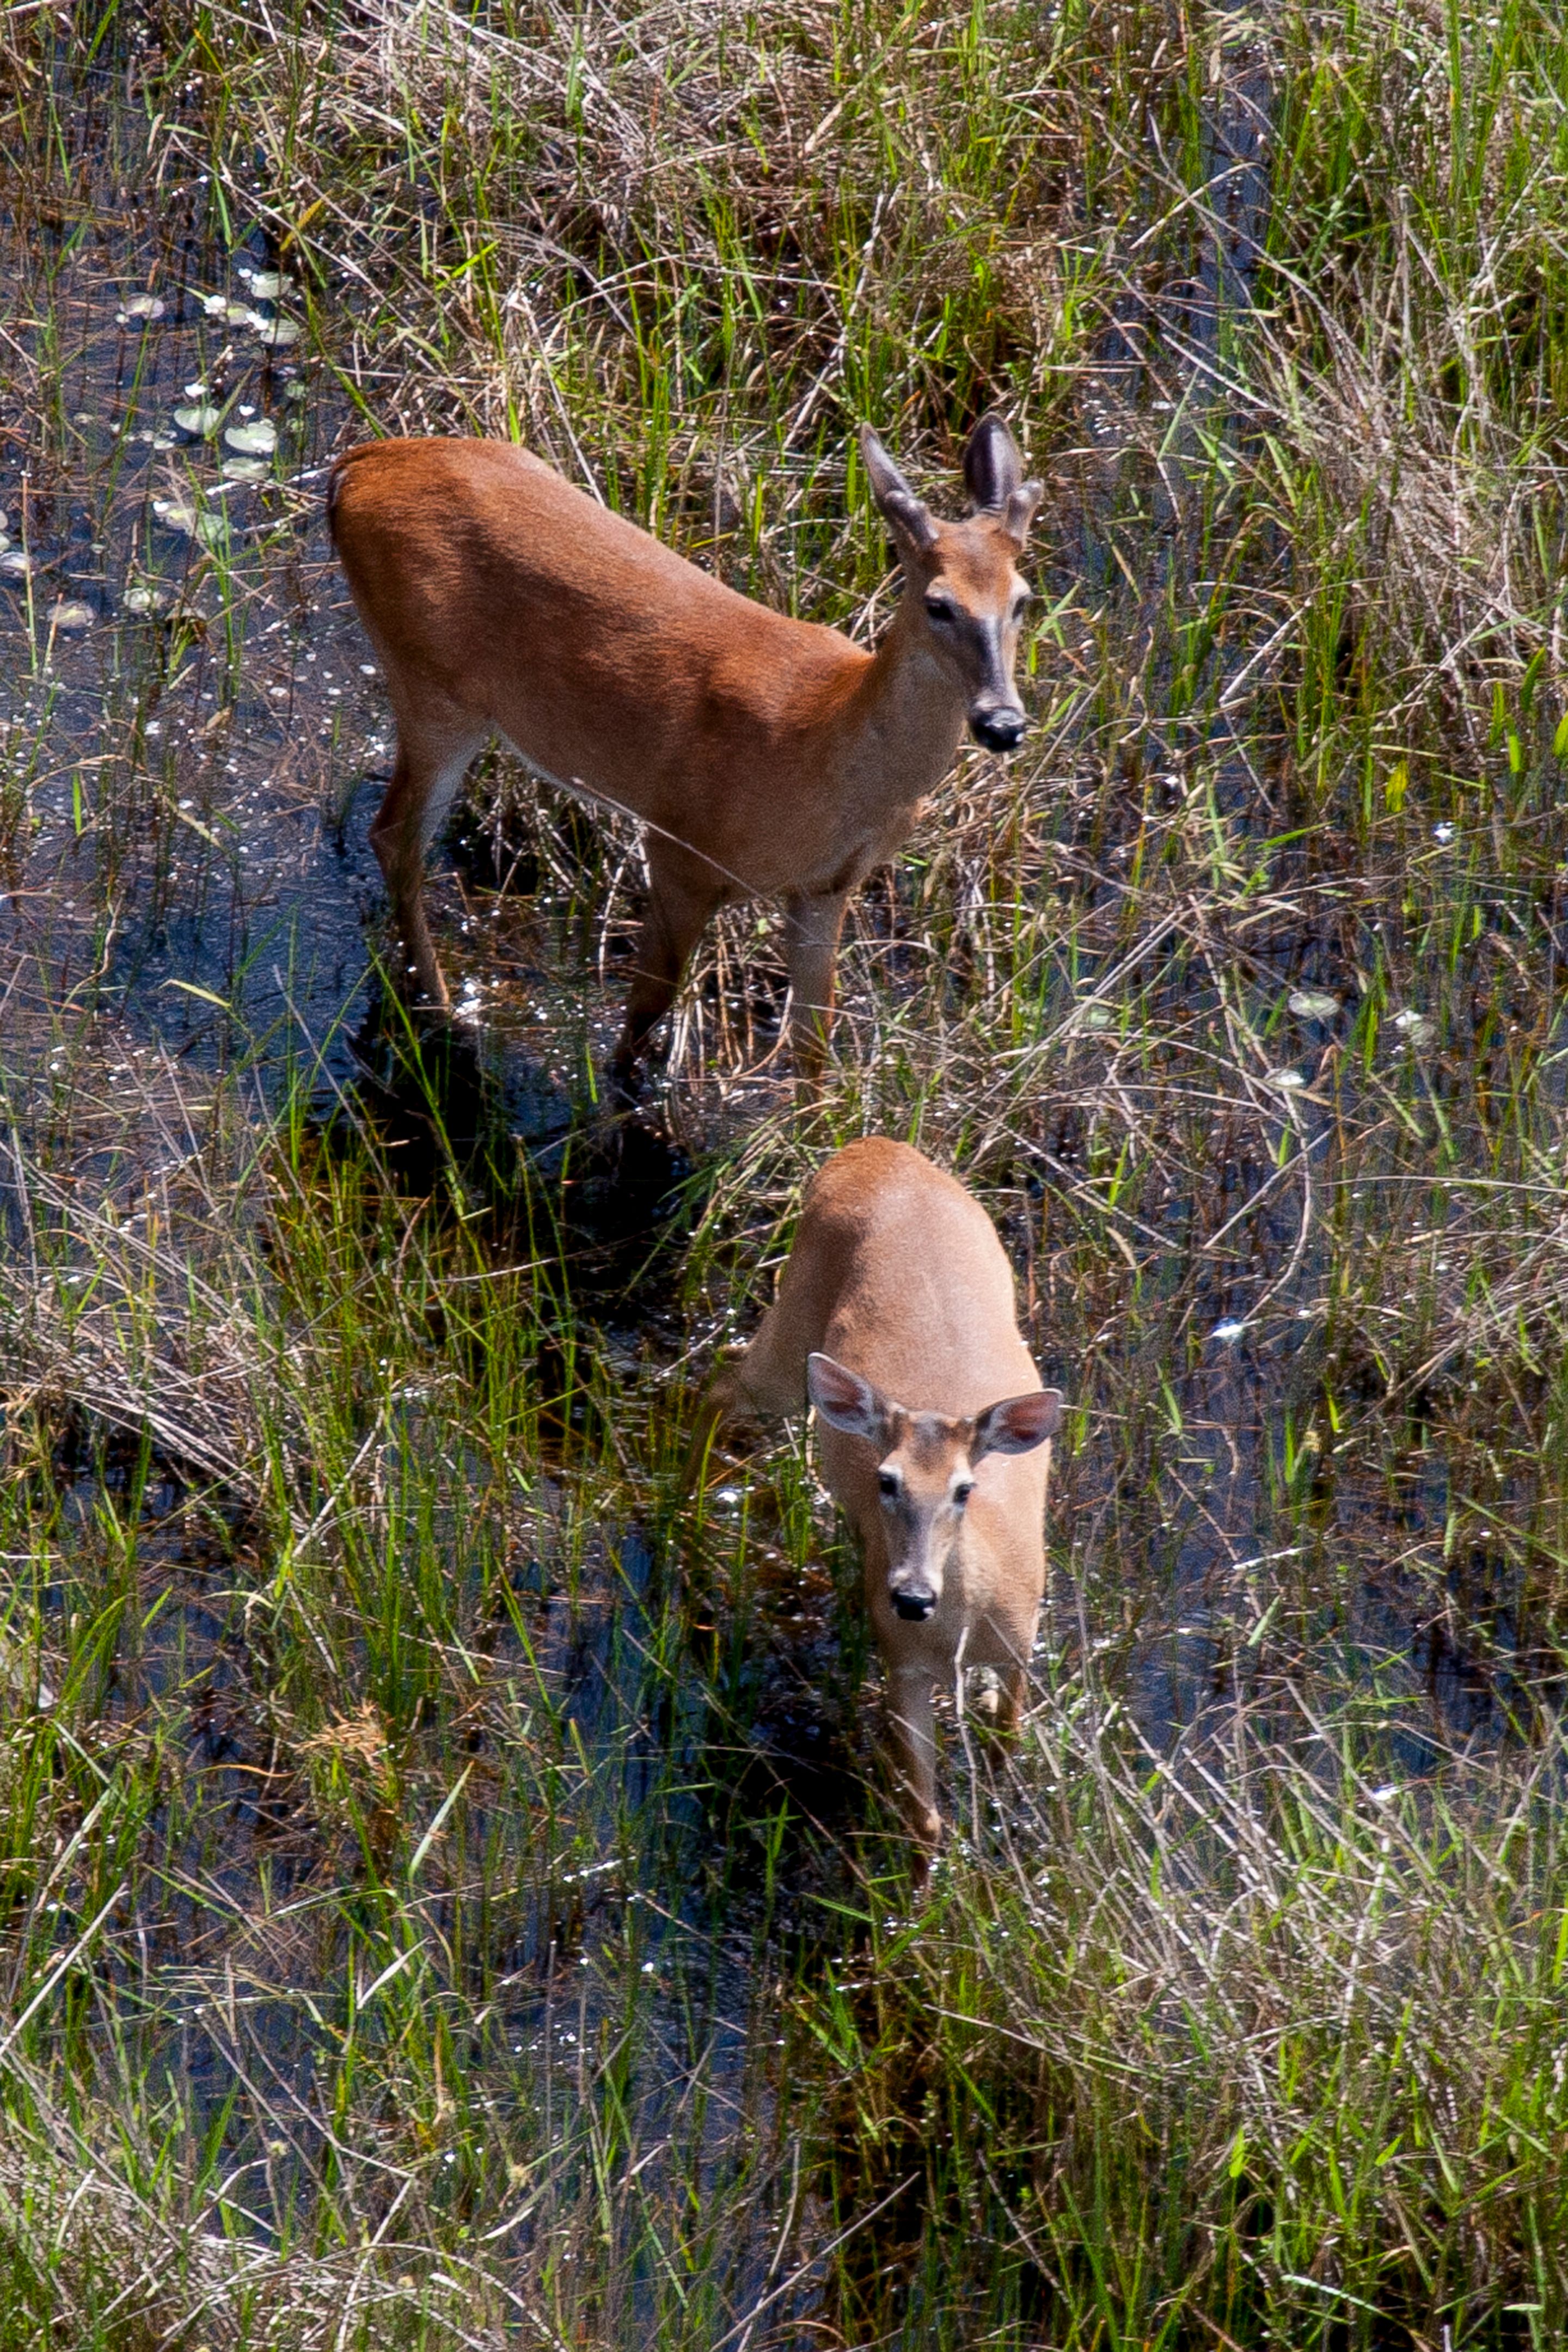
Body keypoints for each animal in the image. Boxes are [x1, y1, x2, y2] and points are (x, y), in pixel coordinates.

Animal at [326, 416, 1040, 1093]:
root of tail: (356, 465)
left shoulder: (827, 887)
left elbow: (814, 1041)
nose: (1001, 722)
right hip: (434, 687)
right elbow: (647, 1008)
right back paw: (442, 1011)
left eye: (1023, 600)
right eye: (938, 604)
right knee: (394, 836)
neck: (824, 747)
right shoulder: (679, 848)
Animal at [700, 1136, 1063, 1862]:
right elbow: (924, 1821)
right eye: (886, 1480)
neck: (961, 1633)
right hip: (792, 1322)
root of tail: (875, 1148)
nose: (913, 1597)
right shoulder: (902, 1664)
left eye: (965, 1489)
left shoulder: (1022, 1644)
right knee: (717, 1390)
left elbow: (1005, 1745)